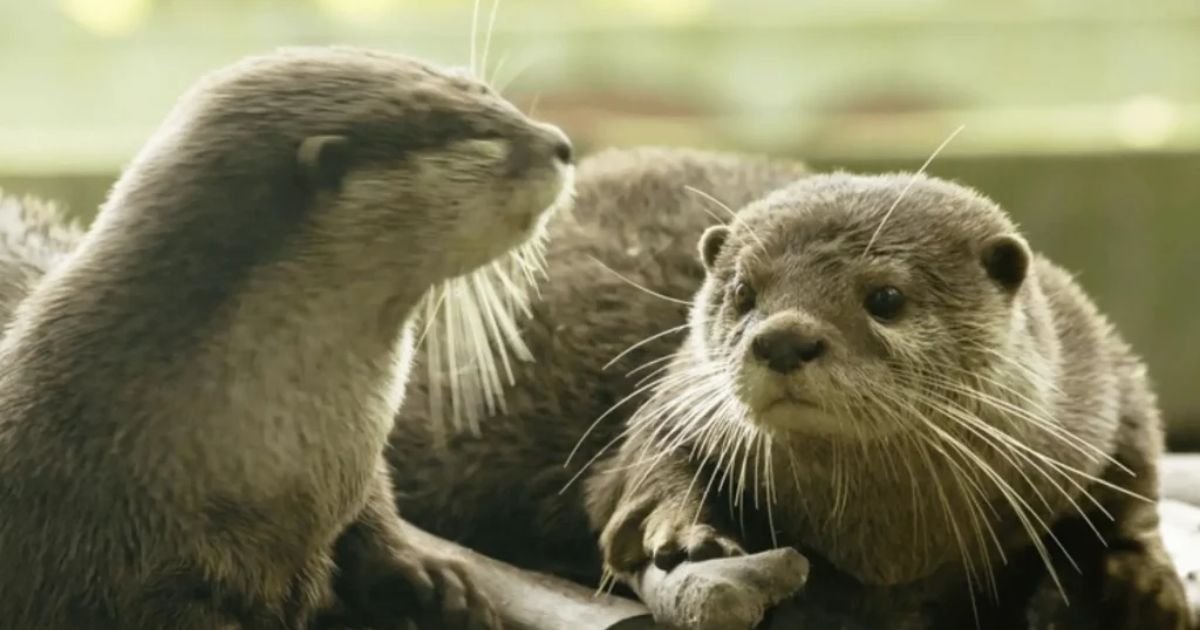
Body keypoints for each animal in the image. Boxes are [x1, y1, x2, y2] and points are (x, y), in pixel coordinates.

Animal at [0, 45, 572, 630]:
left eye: (483, 90)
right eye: (481, 139)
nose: (563, 145)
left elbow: (370, 517)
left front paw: (430, 576)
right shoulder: (108, 568)